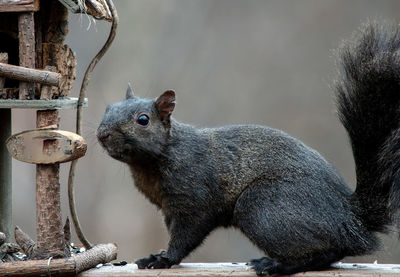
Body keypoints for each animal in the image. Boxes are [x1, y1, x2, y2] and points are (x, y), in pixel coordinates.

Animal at [97, 23, 400, 274]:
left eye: (143, 120)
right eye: (108, 108)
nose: (102, 134)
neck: (155, 160)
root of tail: (351, 219)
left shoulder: (194, 197)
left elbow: (187, 234)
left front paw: (162, 258)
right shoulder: (169, 208)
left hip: (263, 207)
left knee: (323, 251)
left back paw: (276, 265)